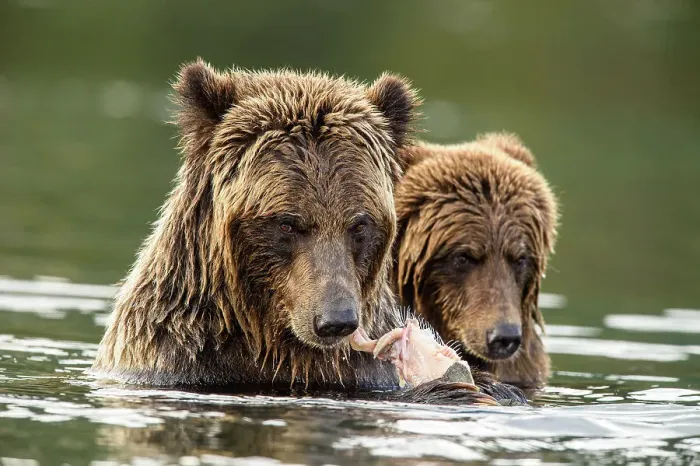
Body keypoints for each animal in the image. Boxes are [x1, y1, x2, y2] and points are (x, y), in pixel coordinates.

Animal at [90, 59, 525, 404]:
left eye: (359, 223)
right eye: (288, 222)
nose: (336, 320)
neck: (269, 337)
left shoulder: (358, 372)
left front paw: (489, 387)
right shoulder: (179, 359)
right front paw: (451, 389)